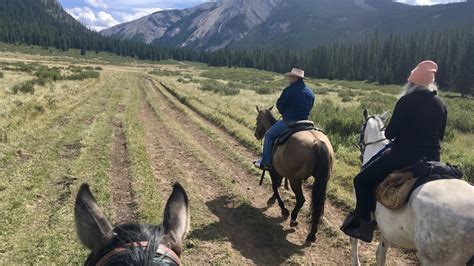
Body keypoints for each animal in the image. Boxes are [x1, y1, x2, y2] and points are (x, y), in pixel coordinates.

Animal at [256, 106, 334, 243]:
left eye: (257, 118)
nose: (256, 134)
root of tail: (318, 143)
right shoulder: (281, 170)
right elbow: (278, 184)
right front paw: (273, 198)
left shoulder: (273, 171)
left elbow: (275, 186)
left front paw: (283, 209)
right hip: (322, 180)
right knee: (317, 206)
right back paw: (312, 234)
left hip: (295, 180)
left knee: (301, 199)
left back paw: (293, 218)